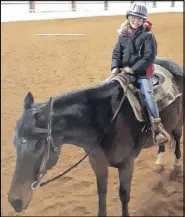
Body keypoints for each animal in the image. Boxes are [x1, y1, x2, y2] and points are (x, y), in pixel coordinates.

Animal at [7, 57, 184, 215]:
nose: (15, 201)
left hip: (178, 123)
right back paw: (160, 160)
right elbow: (101, 193)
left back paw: (176, 166)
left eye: (39, 144)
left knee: (177, 138)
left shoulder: (127, 164)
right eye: (14, 143)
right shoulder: (97, 162)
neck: (107, 119)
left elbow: (124, 195)